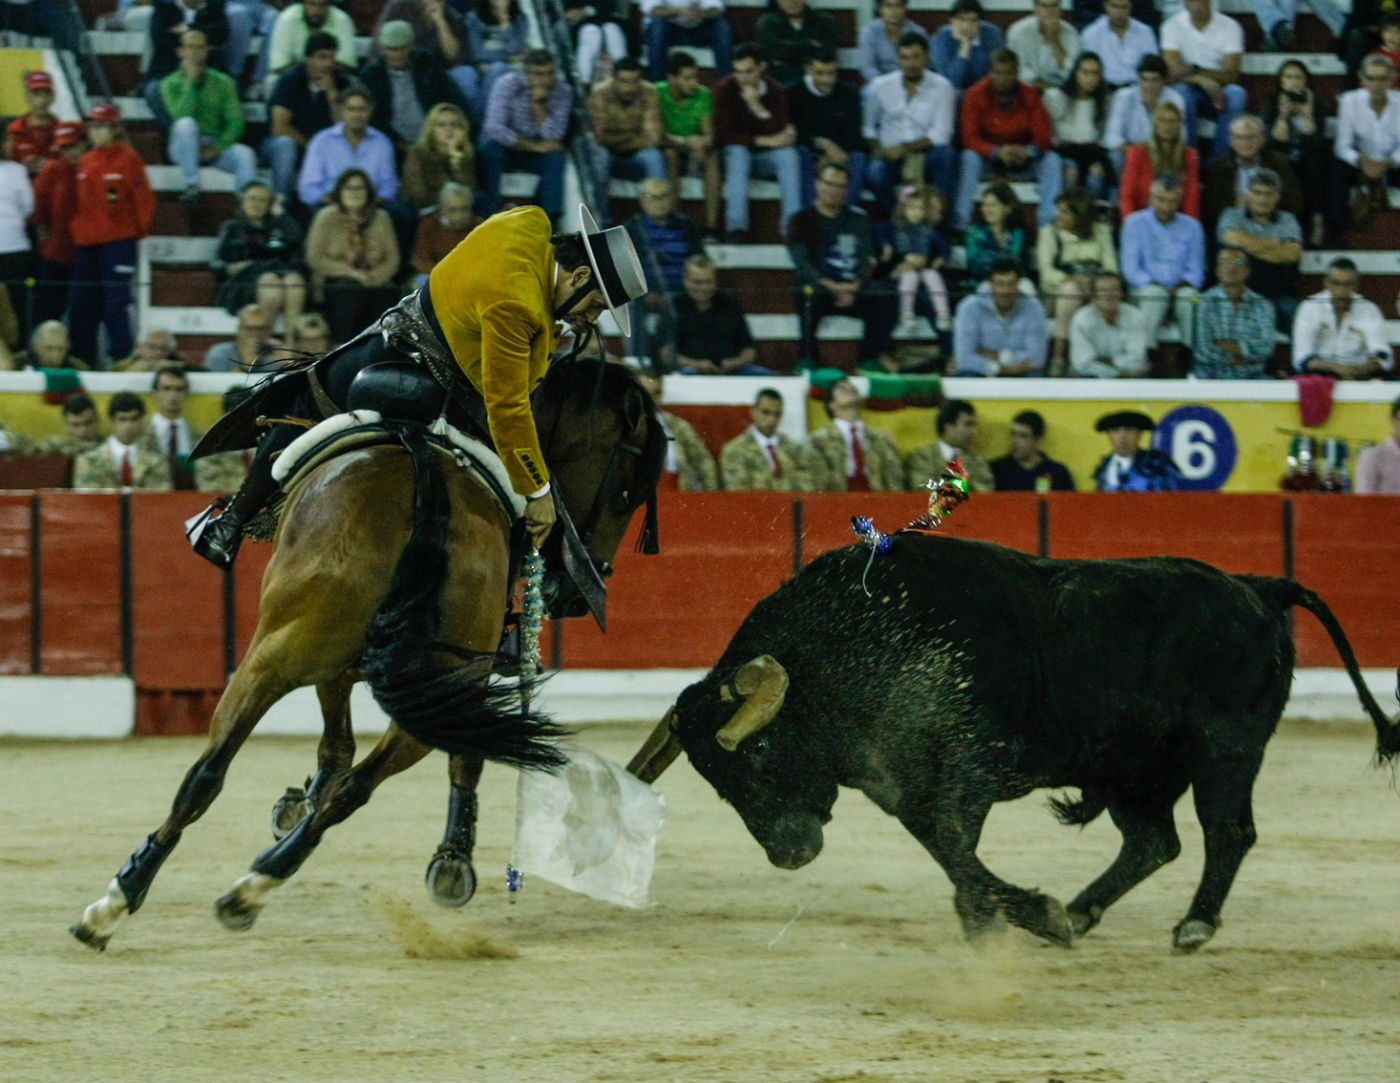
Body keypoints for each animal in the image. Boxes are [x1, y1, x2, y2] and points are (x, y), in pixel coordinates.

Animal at [72, 363, 666, 951]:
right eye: (626, 493)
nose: (578, 591)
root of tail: (425, 481)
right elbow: (388, 753)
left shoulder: (337, 664)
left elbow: (343, 744)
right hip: (404, 676)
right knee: (315, 783)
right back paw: (226, 888)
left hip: (281, 650)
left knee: (226, 773)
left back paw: (144, 900)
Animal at [630, 537, 1394, 957]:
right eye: (716, 784)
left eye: (758, 756)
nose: (791, 854)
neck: (852, 643)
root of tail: (1256, 587)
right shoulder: (905, 786)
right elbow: (950, 850)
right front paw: (1014, 919)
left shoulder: (969, 764)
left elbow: (953, 843)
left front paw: (1009, 918)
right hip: (1135, 771)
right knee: (1154, 841)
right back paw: (1083, 912)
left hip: (1225, 751)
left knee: (1227, 830)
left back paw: (1194, 925)